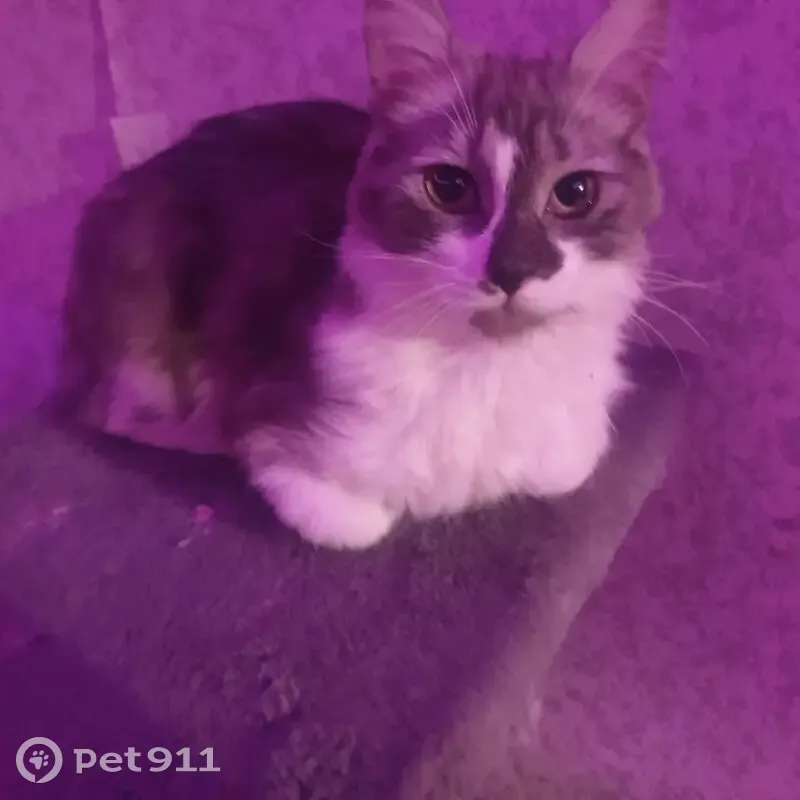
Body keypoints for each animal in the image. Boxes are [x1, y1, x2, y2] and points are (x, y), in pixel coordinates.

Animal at [58, 0, 670, 549]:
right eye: (450, 187)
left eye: (575, 193)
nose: (512, 270)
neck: (485, 363)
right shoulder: (273, 429)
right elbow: (353, 520)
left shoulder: (573, 449)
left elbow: (563, 468)